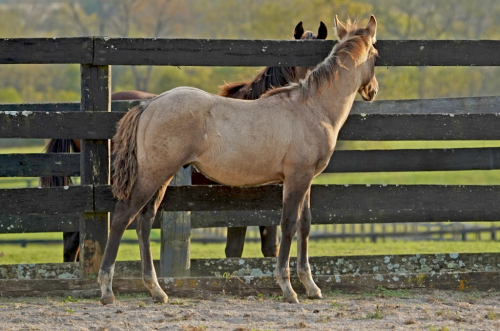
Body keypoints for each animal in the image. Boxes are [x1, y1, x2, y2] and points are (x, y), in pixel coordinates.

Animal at [98, 16, 378, 306]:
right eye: (376, 54)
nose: (373, 91)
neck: (311, 108)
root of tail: (149, 105)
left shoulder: (306, 178)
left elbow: (305, 224)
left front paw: (311, 287)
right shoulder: (296, 177)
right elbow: (287, 224)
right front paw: (288, 289)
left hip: (162, 177)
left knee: (144, 221)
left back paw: (156, 290)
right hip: (152, 174)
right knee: (122, 217)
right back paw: (107, 290)